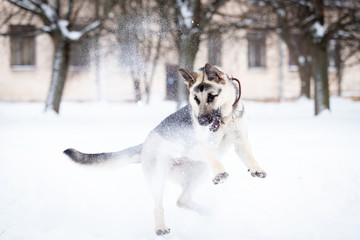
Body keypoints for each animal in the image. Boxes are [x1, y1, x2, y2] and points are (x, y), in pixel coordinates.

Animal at [63, 62, 266, 235]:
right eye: (195, 99)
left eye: (212, 97)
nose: (201, 121)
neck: (225, 118)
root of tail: (146, 143)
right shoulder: (202, 144)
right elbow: (213, 156)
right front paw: (221, 172)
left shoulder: (241, 141)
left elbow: (249, 156)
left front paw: (256, 169)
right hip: (158, 177)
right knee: (158, 205)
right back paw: (160, 227)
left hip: (199, 171)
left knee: (182, 200)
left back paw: (207, 211)